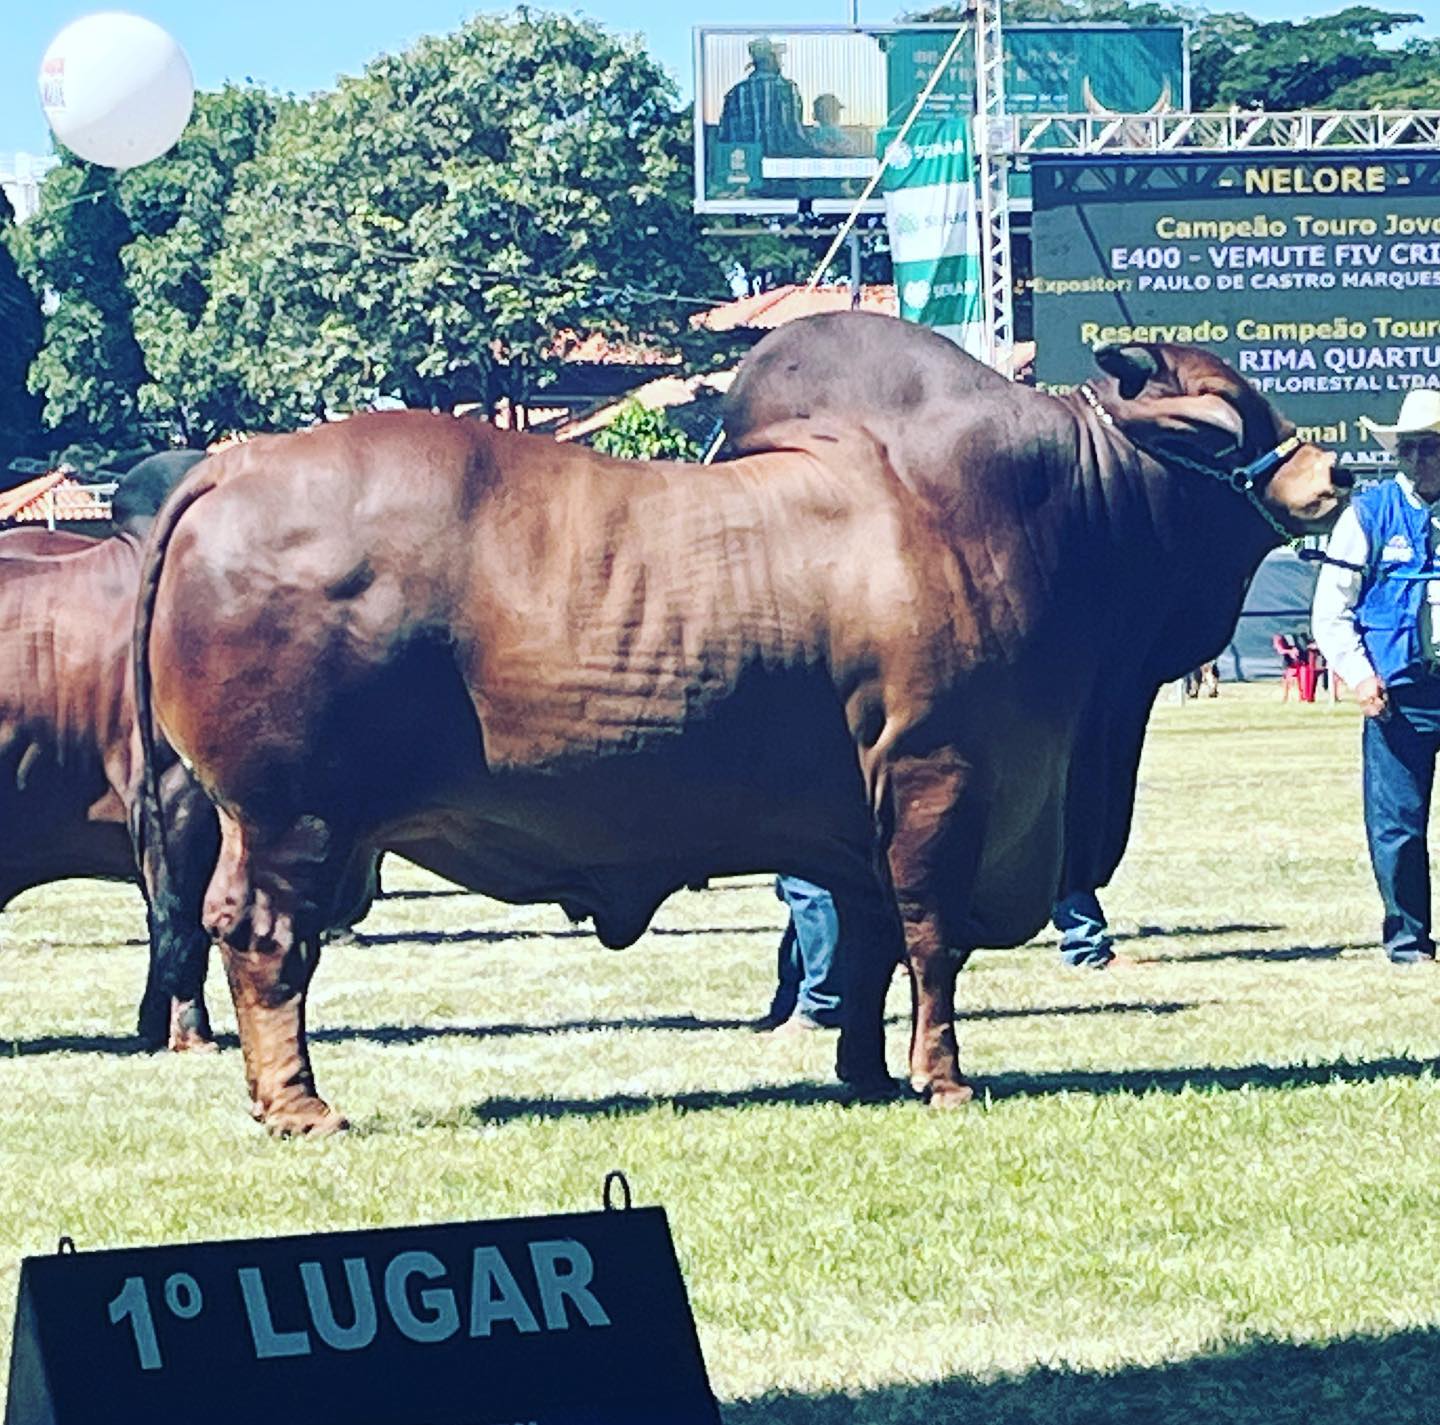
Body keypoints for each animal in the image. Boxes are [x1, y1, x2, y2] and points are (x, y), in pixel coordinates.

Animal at [135, 339, 1347, 1134]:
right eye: (1221, 414)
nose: (1334, 470)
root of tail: (233, 465)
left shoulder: (862, 817)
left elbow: (866, 945)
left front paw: (866, 1072)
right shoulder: (941, 774)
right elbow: (932, 938)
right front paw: (944, 1079)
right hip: (291, 816)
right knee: (264, 939)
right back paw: (300, 1105)